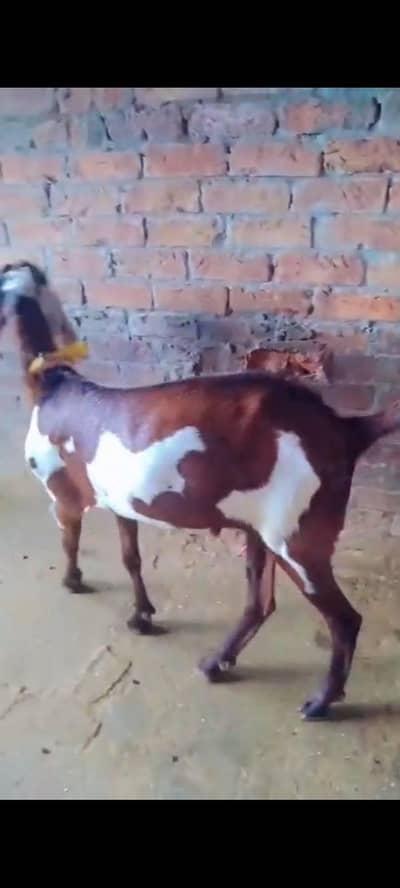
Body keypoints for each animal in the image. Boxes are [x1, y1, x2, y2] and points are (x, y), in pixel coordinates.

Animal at [1, 261, 399, 720]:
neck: (54, 383)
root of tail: (345, 429)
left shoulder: (63, 496)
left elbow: (70, 540)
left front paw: (73, 581)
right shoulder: (122, 504)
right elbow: (131, 557)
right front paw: (142, 615)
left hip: (298, 538)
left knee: (344, 619)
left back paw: (321, 701)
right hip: (261, 530)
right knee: (261, 603)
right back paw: (217, 662)